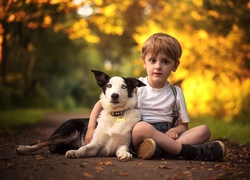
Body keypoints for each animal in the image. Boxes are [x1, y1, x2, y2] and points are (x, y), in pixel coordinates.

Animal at [16, 69, 145, 161]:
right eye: (109, 86)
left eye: (124, 86)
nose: (114, 95)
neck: (116, 115)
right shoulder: (95, 145)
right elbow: (83, 149)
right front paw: (74, 152)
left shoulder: (122, 145)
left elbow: (123, 150)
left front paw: (126, 155)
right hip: (70, 132)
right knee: (41, 142)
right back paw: (24, 148)